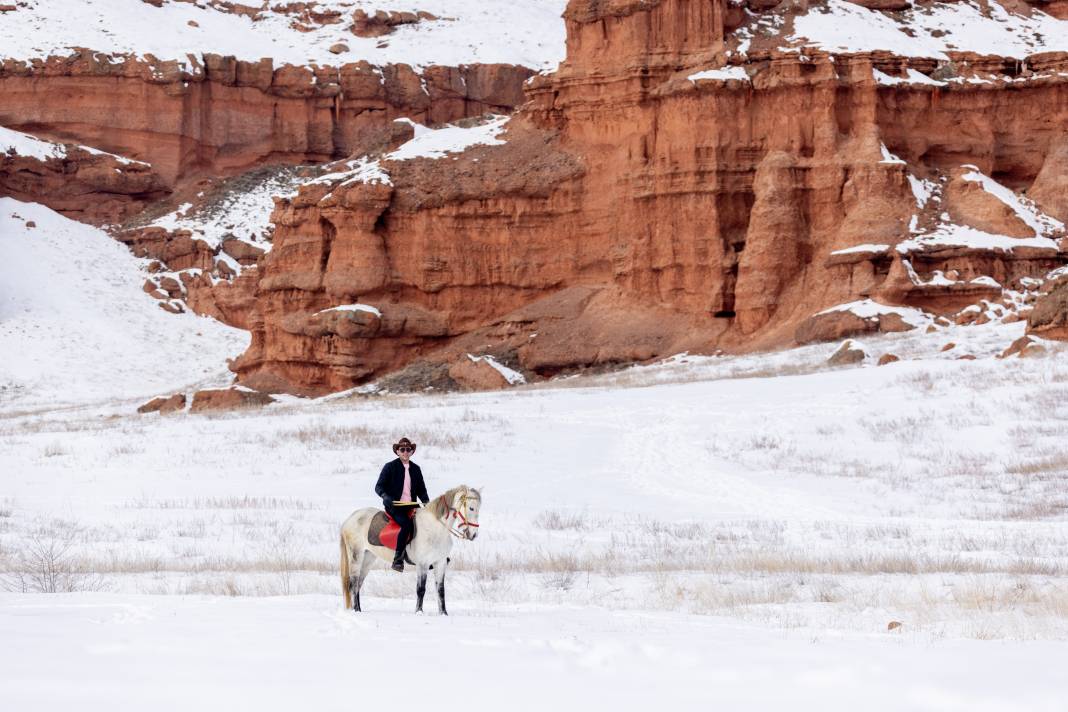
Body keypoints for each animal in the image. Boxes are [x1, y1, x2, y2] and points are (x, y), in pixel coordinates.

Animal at [339, 486, 482, 614]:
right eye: (471, 508)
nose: (473, 535)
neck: (436, 528)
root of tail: (350, 519)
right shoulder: (423, 564)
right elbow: (421, 589)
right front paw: (419, 612)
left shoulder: (440, 563)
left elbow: (441, 590)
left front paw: (443, 613)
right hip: (356, 556)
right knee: (353, 583)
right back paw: (356, 610)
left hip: (368, 557)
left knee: (358, 584)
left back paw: (358, 609)